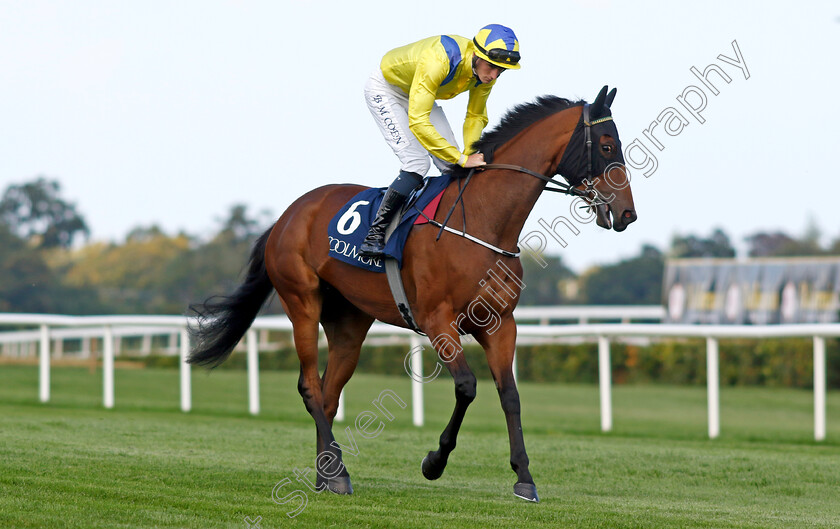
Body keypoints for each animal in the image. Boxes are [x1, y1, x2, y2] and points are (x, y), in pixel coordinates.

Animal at [189, 85, 636, 504]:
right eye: (607, 145)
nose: (628, 214)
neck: (483, 222)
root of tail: (286, 216)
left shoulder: (500, 324)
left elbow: (510, 395)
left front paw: (524, 478)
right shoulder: (437, 320)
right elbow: (467, 387)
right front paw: (434, 463)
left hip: (349, 321)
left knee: (330, 395)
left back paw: (326, 475)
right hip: (301, 302)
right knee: (310, 387)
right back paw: (339, 474)